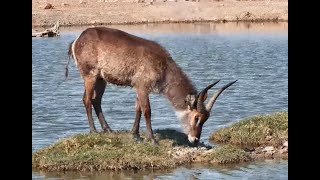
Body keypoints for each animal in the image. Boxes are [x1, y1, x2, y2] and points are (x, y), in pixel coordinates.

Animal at [67, 27, 238, 145]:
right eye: (197, 117)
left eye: (206, 118)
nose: (195, 139)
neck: (164, 66)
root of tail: (77, 40)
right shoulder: (143, 86)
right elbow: (147, 111)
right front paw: (152, 139)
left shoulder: (139, 87)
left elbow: (138, 109)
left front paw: (135, 135)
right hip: (90, 75)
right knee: (87, 99)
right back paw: (94, 131)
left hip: (101, 79)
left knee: (96, 100)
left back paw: (108, 129)